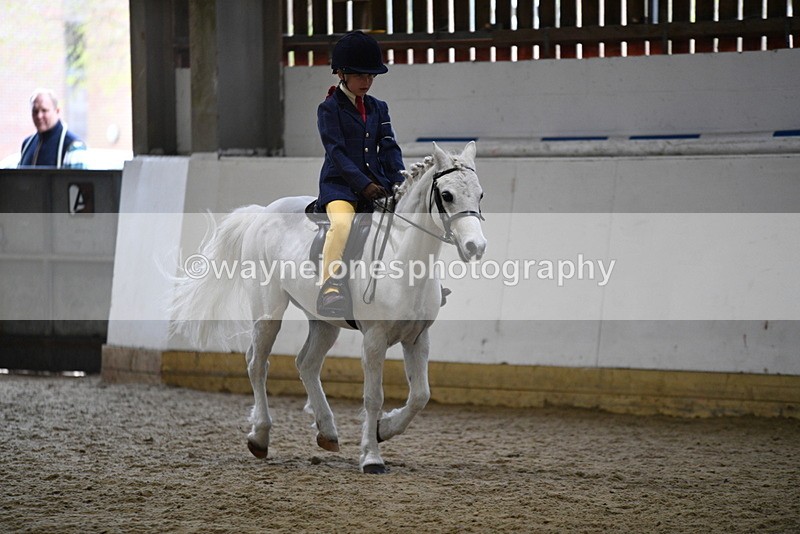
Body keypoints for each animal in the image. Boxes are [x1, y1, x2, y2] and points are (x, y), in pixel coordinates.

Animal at [170, 141, 487, 473]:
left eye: (480, 194)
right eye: (447, 195)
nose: (476, 247)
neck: (403, 257)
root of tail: (261, 213)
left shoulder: (417, 338)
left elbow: (420, 396)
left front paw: (383, 429)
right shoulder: (374, 339)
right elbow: (373, 397)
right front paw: (371, 456)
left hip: (323, 322)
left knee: (306, 364)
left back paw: (327, 432)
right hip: (268, 313)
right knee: (257, 364)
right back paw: (260, 436)